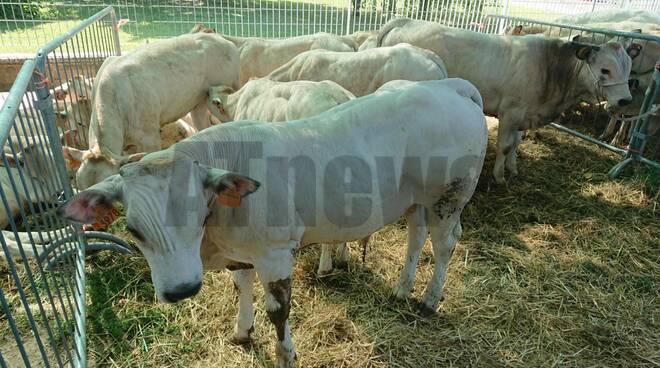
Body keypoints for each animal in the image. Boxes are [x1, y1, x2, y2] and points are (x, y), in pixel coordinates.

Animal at [58, 78, 490, 368]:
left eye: (197, 215)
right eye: (133, 230)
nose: (181, 290)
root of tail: (449, 86)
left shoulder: (276, 253)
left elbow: (278, 311)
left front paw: (285, 353)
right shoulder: (242, 253)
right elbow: (241, 286)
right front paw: (241, 330)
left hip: (449, 197)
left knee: (445, 243)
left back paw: (430, 299)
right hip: (416, 200)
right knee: (417, 237)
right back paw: (402, 288)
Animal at [378, 18, 632, 183]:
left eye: (629, 68)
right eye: (605, 69)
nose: (625, 100)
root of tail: (406, 21)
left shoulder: (524, 115)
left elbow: (517, 144)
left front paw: (513, 168)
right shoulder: (511, 112)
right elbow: (505, 145)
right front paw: (499, 176)